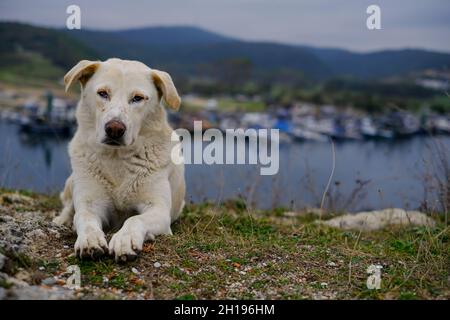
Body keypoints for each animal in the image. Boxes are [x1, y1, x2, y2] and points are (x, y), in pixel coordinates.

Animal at [52, 58, 185, 262]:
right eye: (103, 93)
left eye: (138, 98)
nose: (114, 129)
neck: (117, 159)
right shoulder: (91, 202)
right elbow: (84, 218)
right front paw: (90, 239)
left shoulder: (159, 210)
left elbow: (134, 219)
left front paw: (125, 239)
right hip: (72, 180)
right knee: (68, 205)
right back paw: (63, 220)